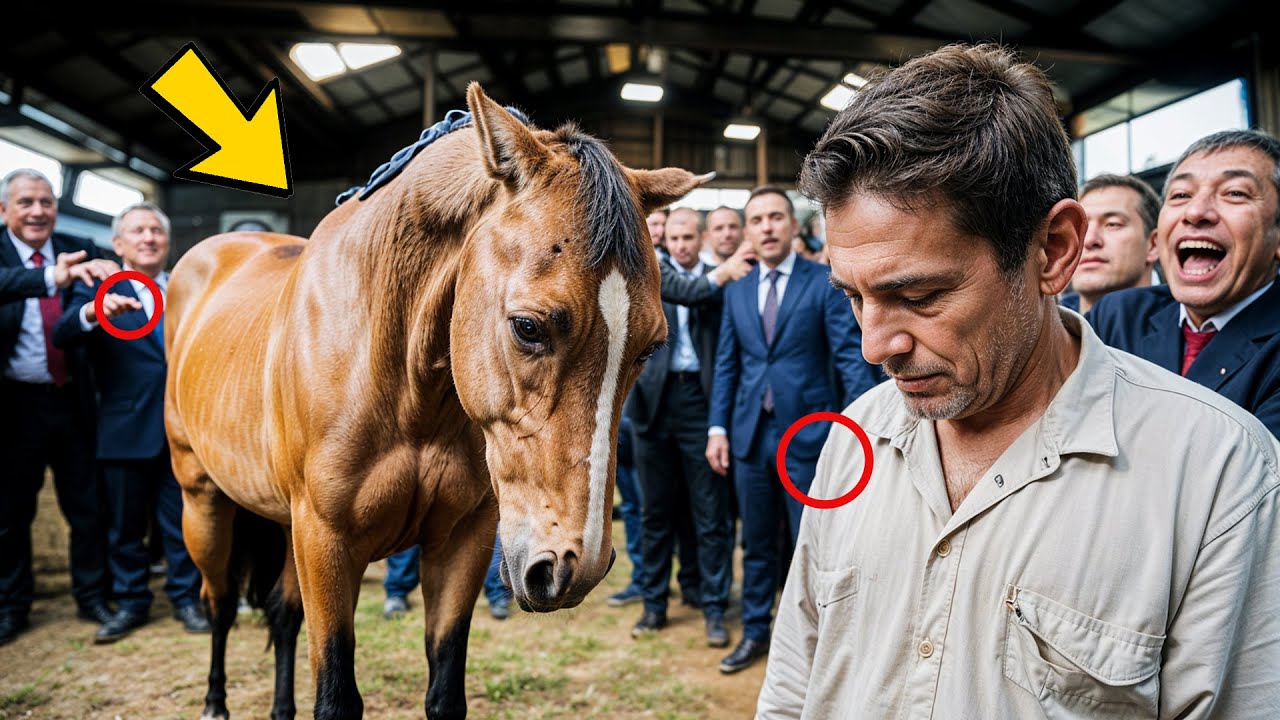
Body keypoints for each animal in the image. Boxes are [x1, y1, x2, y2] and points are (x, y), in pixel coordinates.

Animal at [164, 83, 709, 720]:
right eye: (528, 327)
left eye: (650, 347)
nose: (577, 567)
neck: (400, 381)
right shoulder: (326, 543)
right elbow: (335, 695)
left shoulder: (461, 542)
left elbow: (445, 690)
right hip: (204, 505)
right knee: (221, 603)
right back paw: (215, 701)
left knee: (281, 613)